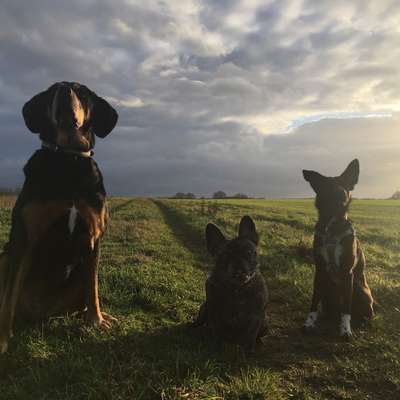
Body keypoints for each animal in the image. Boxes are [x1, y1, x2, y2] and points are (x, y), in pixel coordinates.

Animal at [0, 82, 119, 354]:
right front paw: (2, 340)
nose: (65, 91)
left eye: (83, 93)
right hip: (4, 256)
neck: (68, 157)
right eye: (52, 89)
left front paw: (96, 321)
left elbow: (93, 289)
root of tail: (39, 313)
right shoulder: (24, 238)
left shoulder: (93, 237)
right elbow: (9, 297)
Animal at [194, 216, 268, 350]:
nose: (239, 267)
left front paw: (249, 351)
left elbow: (250, 337)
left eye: (248, 253)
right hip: (204, 307)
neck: (237, 289)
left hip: (266, 323)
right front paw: (214, 347)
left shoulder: (256, 317)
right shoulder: (214, 311)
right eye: (224, 256)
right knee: (201, 322)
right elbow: (216, 331)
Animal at [304, 158, 376, 340]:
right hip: (327, 291)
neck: (332, 228)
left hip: (360, 290)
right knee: (328, 308)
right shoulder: (320, 271)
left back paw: (362, 322)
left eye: (344, 184)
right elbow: (314, 301)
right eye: (325, 185)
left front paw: (345, 330)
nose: (340, 193)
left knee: (366, 313)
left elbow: (346, 308)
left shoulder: (347, 272)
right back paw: (325, 316)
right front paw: (309, 323)